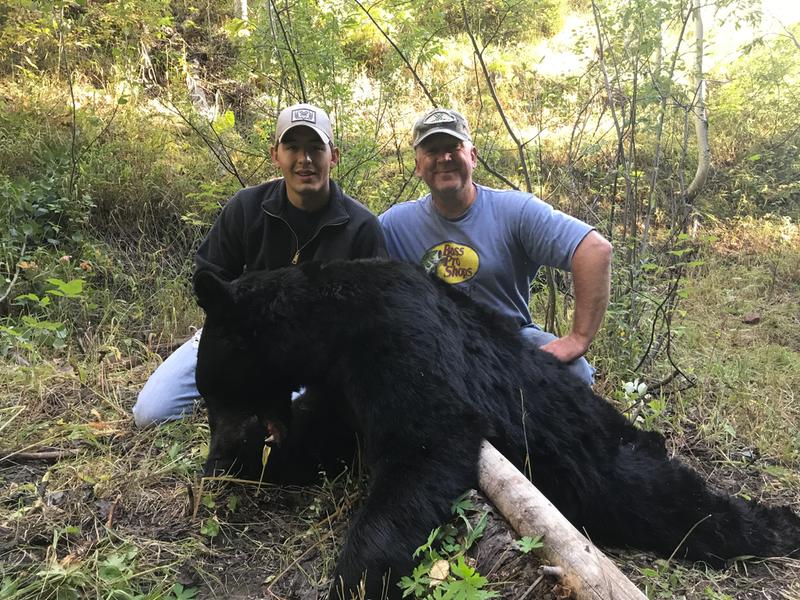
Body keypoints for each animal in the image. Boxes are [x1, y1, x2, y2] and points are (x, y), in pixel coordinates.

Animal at [193, 258, 800, 600]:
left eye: (210, 388)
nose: (218, 443)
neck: (328, 327)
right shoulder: (342, 386)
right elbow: (322, 444)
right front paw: (240, 462)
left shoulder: (398, 335)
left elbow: (428, 440)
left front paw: (354, 579)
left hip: (604, 457)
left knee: (673, 503)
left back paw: (778, 526)